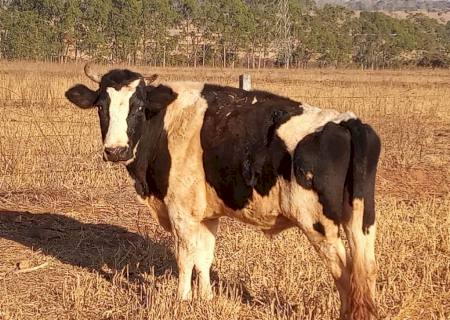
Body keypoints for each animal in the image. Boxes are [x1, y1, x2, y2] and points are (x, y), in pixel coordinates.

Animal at [66, 63, 380, 318]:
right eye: (101, 107)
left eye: (139, 107)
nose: (115, 150)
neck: (165, 123)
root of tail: (347, 121)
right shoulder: (207, 214)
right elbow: (205, 257)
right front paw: (205, 298)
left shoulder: (180, 213)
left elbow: (185, 258)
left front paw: (182, 300)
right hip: (362, 224)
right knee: (365, 273)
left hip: (319, 225)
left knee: (344, 274)